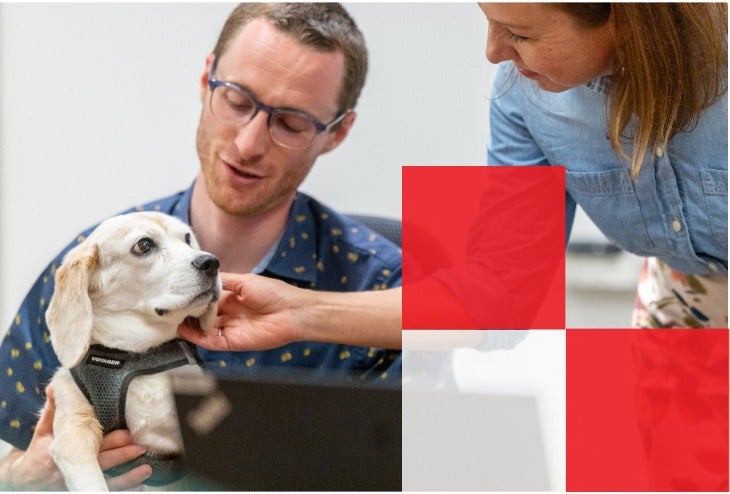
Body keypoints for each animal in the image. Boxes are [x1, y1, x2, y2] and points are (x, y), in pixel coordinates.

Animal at [44, 211, 220, 490]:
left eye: (187, 238)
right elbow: (91, 481)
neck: (137, 356)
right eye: (144, 245)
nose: (211, 262)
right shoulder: (74, 430)